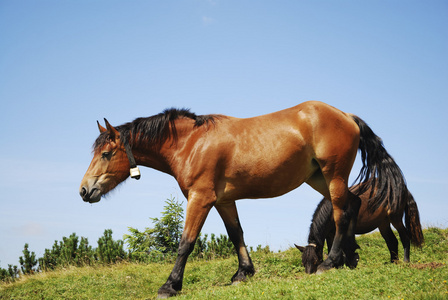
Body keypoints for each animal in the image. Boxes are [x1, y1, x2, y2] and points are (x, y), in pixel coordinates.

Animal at [79, 101, 406, 298]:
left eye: (106, 154)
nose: (84, 190)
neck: (191, 143)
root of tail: (346, 116)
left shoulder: (200, 198)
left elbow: (186, 242)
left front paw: (170, 285)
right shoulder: (224, 201)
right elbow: (236, 233)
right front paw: (243, 273)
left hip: (333, 175)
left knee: (340, 213)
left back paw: (331, 261)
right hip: (319, 179)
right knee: (351, 205)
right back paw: (348, 259)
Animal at [296, 183, 426, 274]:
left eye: (315, 261)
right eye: (303, 262)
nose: (309, 275)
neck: (333, 211)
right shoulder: (330, 233)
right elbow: (331, 249)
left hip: (395, 218)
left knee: (404, 237)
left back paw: (405, 261)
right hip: (383, 222)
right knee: (392, 241)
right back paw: (393, 262)